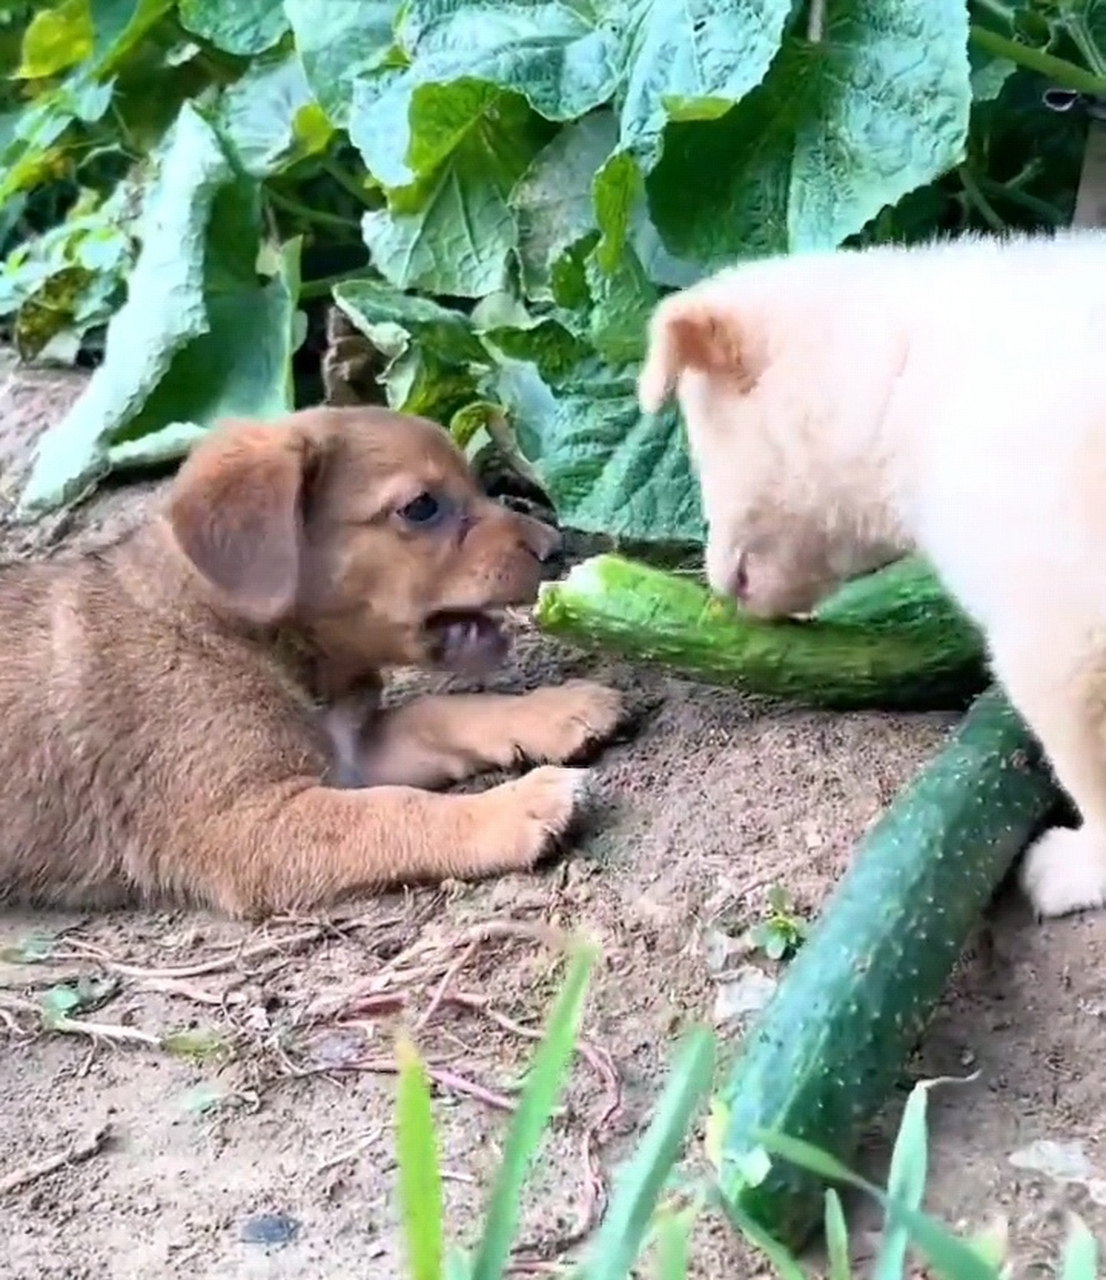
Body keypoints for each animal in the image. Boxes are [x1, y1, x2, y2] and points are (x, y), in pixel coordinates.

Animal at [0, 404, 622, 916]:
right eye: (421, 507)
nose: (556, 547)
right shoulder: (245, 822)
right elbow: (398, 810)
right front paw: (518, 806)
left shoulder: (350, 752)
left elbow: (440, 712)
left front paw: (556, 710)